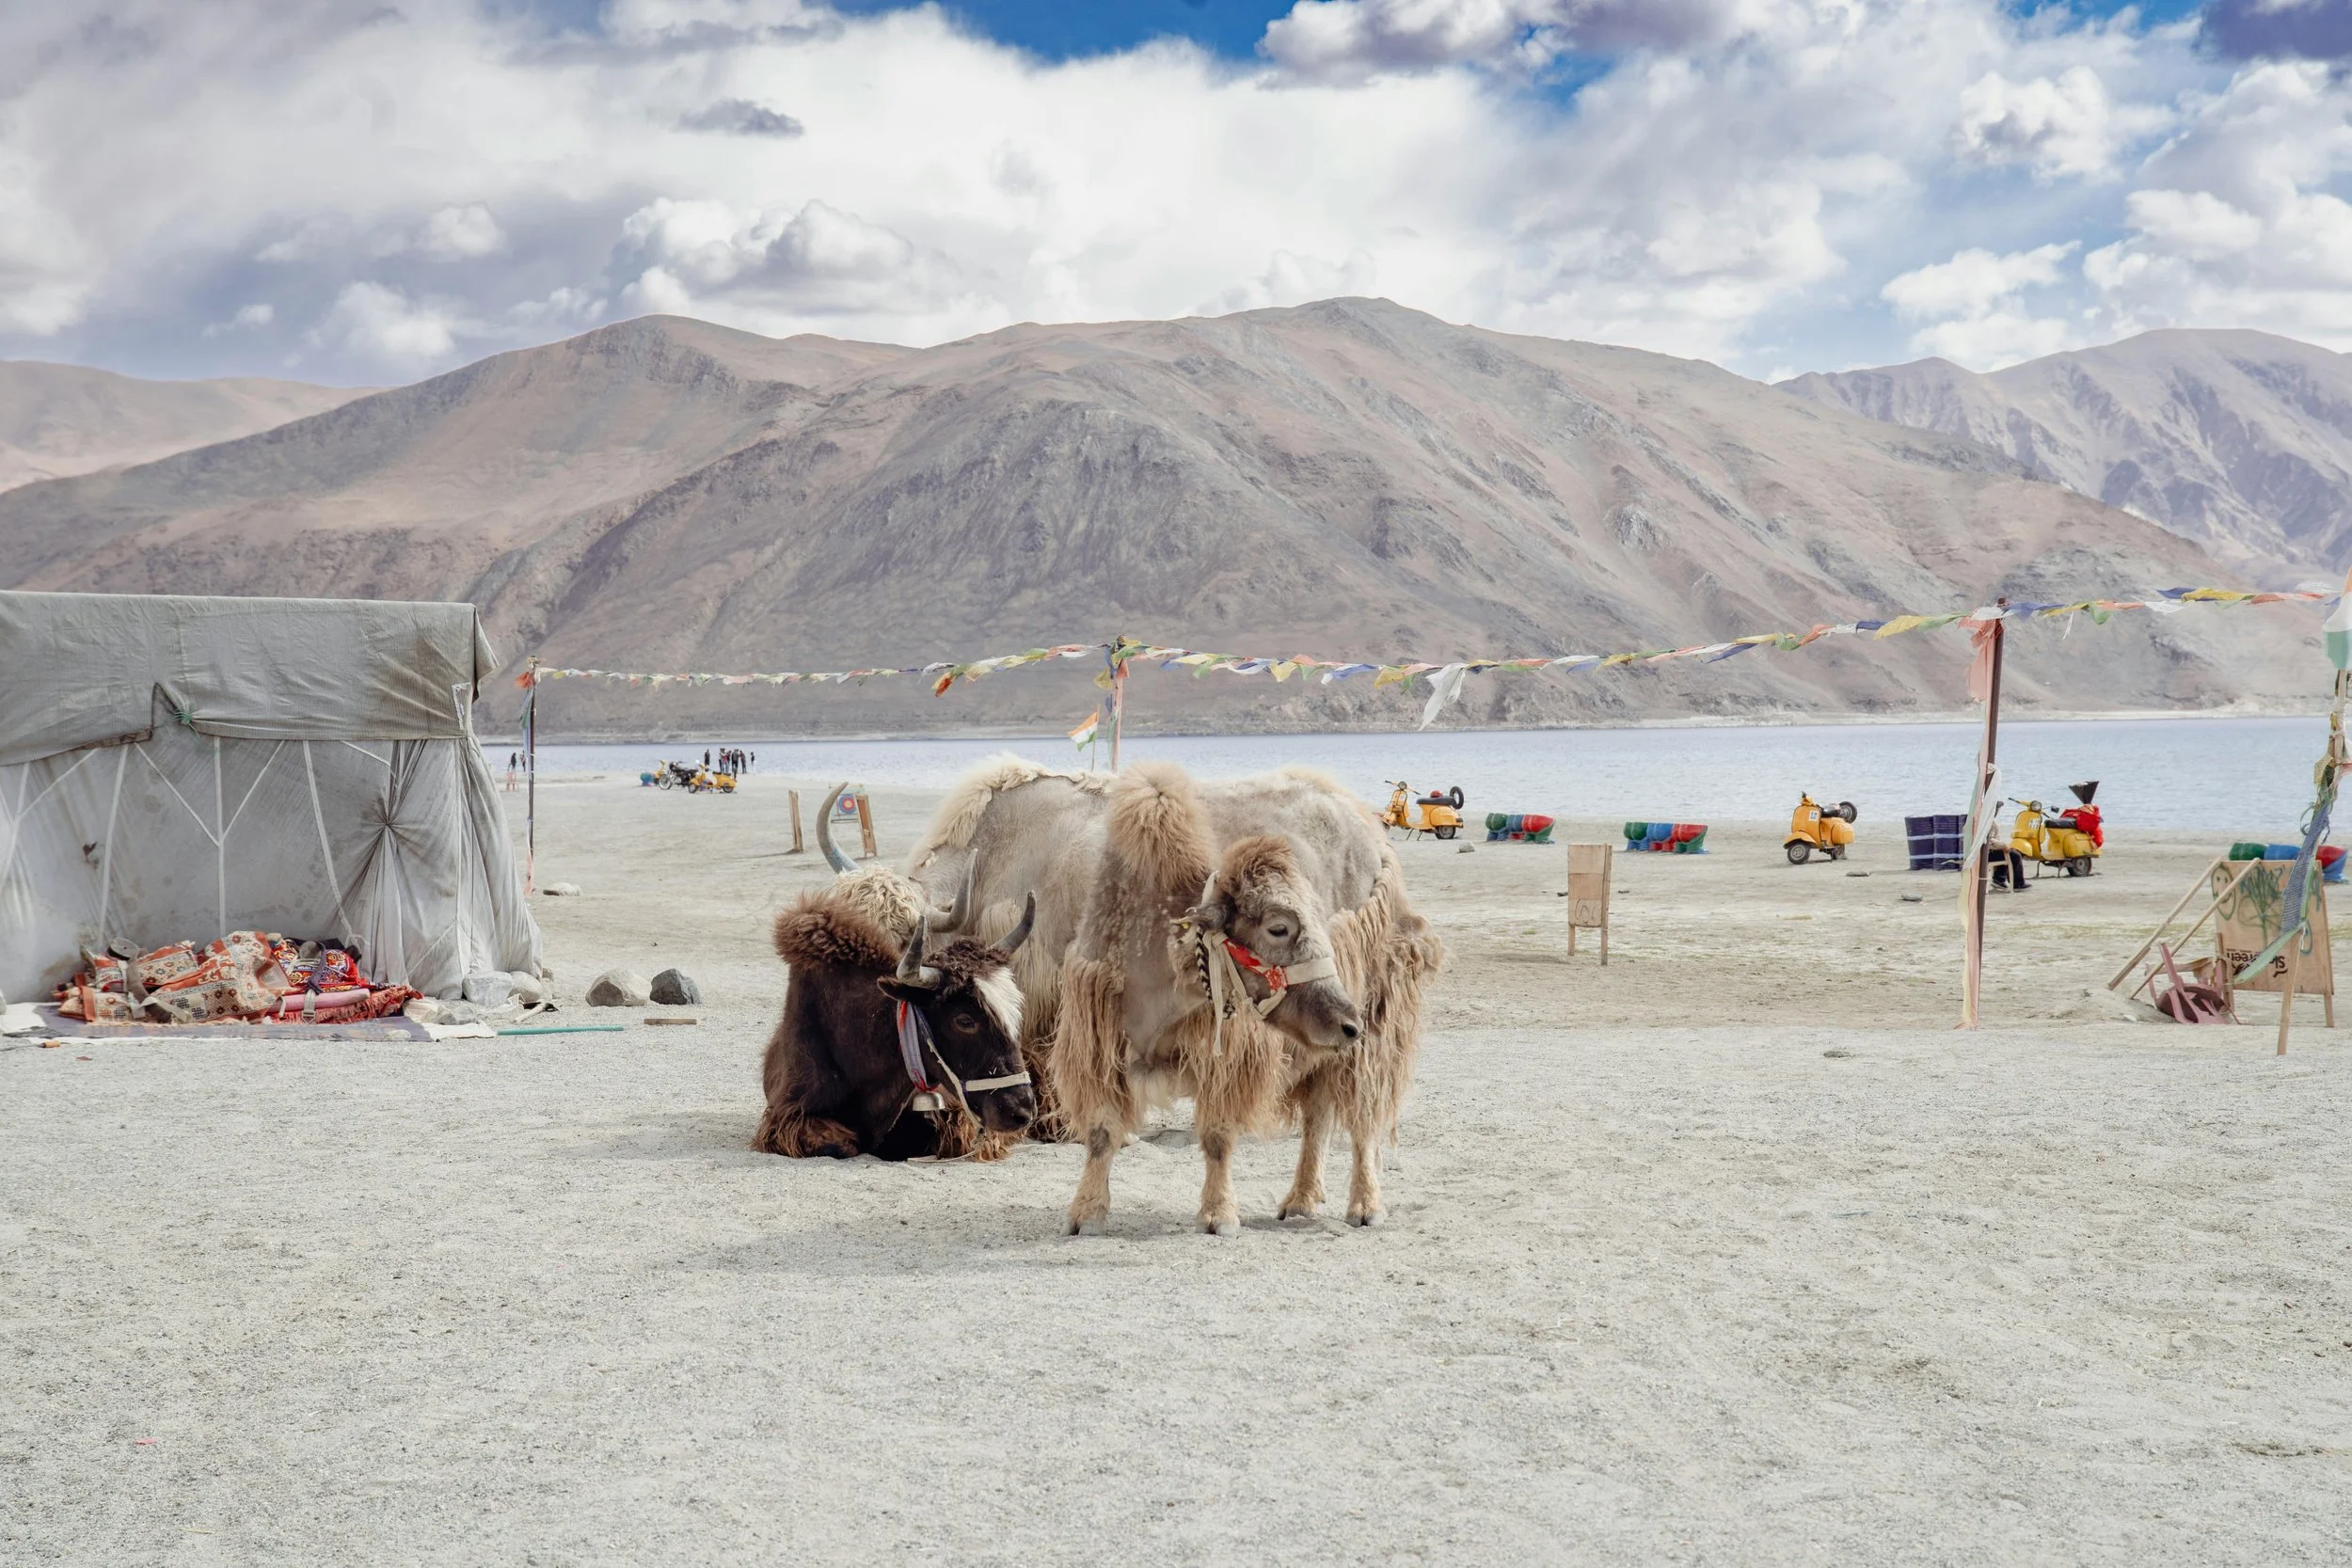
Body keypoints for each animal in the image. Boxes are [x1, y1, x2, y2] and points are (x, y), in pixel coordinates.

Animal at [908, 756, 1442, 1233]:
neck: (1001, 859)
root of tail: (1372, 835)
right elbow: (1098, 1119)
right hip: (1322, 1039)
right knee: (1318, 1110)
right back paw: (1301, 1201)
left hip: (1368, 1023)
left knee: (1362, 1111)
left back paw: (1365, 1206)